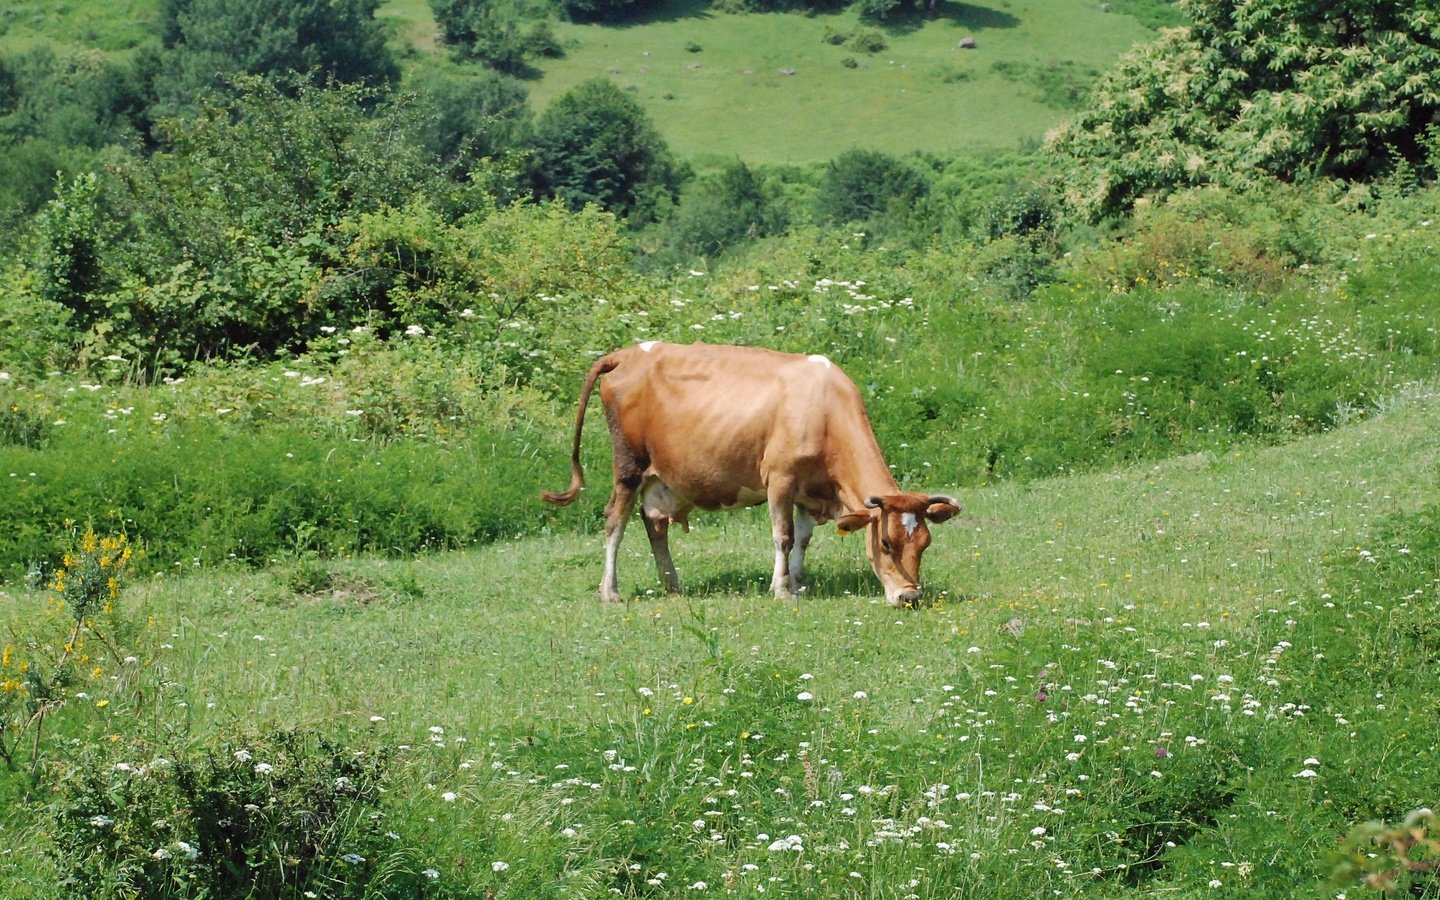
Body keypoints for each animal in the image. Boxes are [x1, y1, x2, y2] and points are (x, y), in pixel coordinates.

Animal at [538, 339, 956, 607]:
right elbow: (783, 537)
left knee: (654, 523)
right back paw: (610, 590)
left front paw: (798, 582)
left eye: (925, 544)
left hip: (663, 476)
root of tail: (625, 354)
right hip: (629, 464)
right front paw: (782, 590)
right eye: (885, 544)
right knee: (615, 521)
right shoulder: (780, 479)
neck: (823, 408)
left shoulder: (810, 490)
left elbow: (803, 539)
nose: (911, 596)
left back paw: (672, 584)